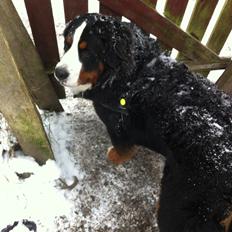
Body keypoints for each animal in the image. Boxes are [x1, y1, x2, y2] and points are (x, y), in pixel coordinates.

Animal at [54, 13, 232, 231]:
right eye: (68, 44)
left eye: (87, 52)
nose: (58, 72)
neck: (130, 75)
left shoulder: (117, 125)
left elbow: (122, 149)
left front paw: (114, 156)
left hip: (178, 204)